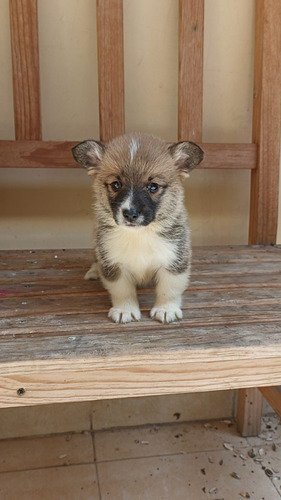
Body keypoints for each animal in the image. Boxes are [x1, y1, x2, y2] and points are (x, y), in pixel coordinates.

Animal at [71, 131, 202, 322]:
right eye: (116, 185)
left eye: (153, 186)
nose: (130, 213)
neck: (139, 235)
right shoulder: (113, 262)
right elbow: (122, 291)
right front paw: (125, 310)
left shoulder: (174, 258)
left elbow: (169, 289)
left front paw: (166, 309)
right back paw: (95, 270)